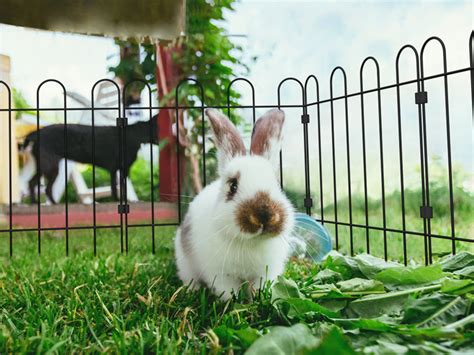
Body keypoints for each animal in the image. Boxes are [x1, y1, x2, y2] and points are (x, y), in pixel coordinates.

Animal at [21, 118, 158, 204]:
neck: (133, 135)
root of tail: (36, 133)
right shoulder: (123, 170)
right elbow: (121, 188)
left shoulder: (114, 170)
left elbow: (114, 188)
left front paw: (116, 200)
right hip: (51, 167)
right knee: (44, 187)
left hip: (44, 166)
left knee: (33, 183)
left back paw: (37, 202)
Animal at [174, 108, 292, 300]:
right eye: (233, 186)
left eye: (277, 184)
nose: (264, 216)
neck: (250, 242)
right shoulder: (221, 274)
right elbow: (229, 291)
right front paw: (234, 302)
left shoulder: (264, 273)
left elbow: (258, 288)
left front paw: (258, 299)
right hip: (185, 263)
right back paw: (193, 290)